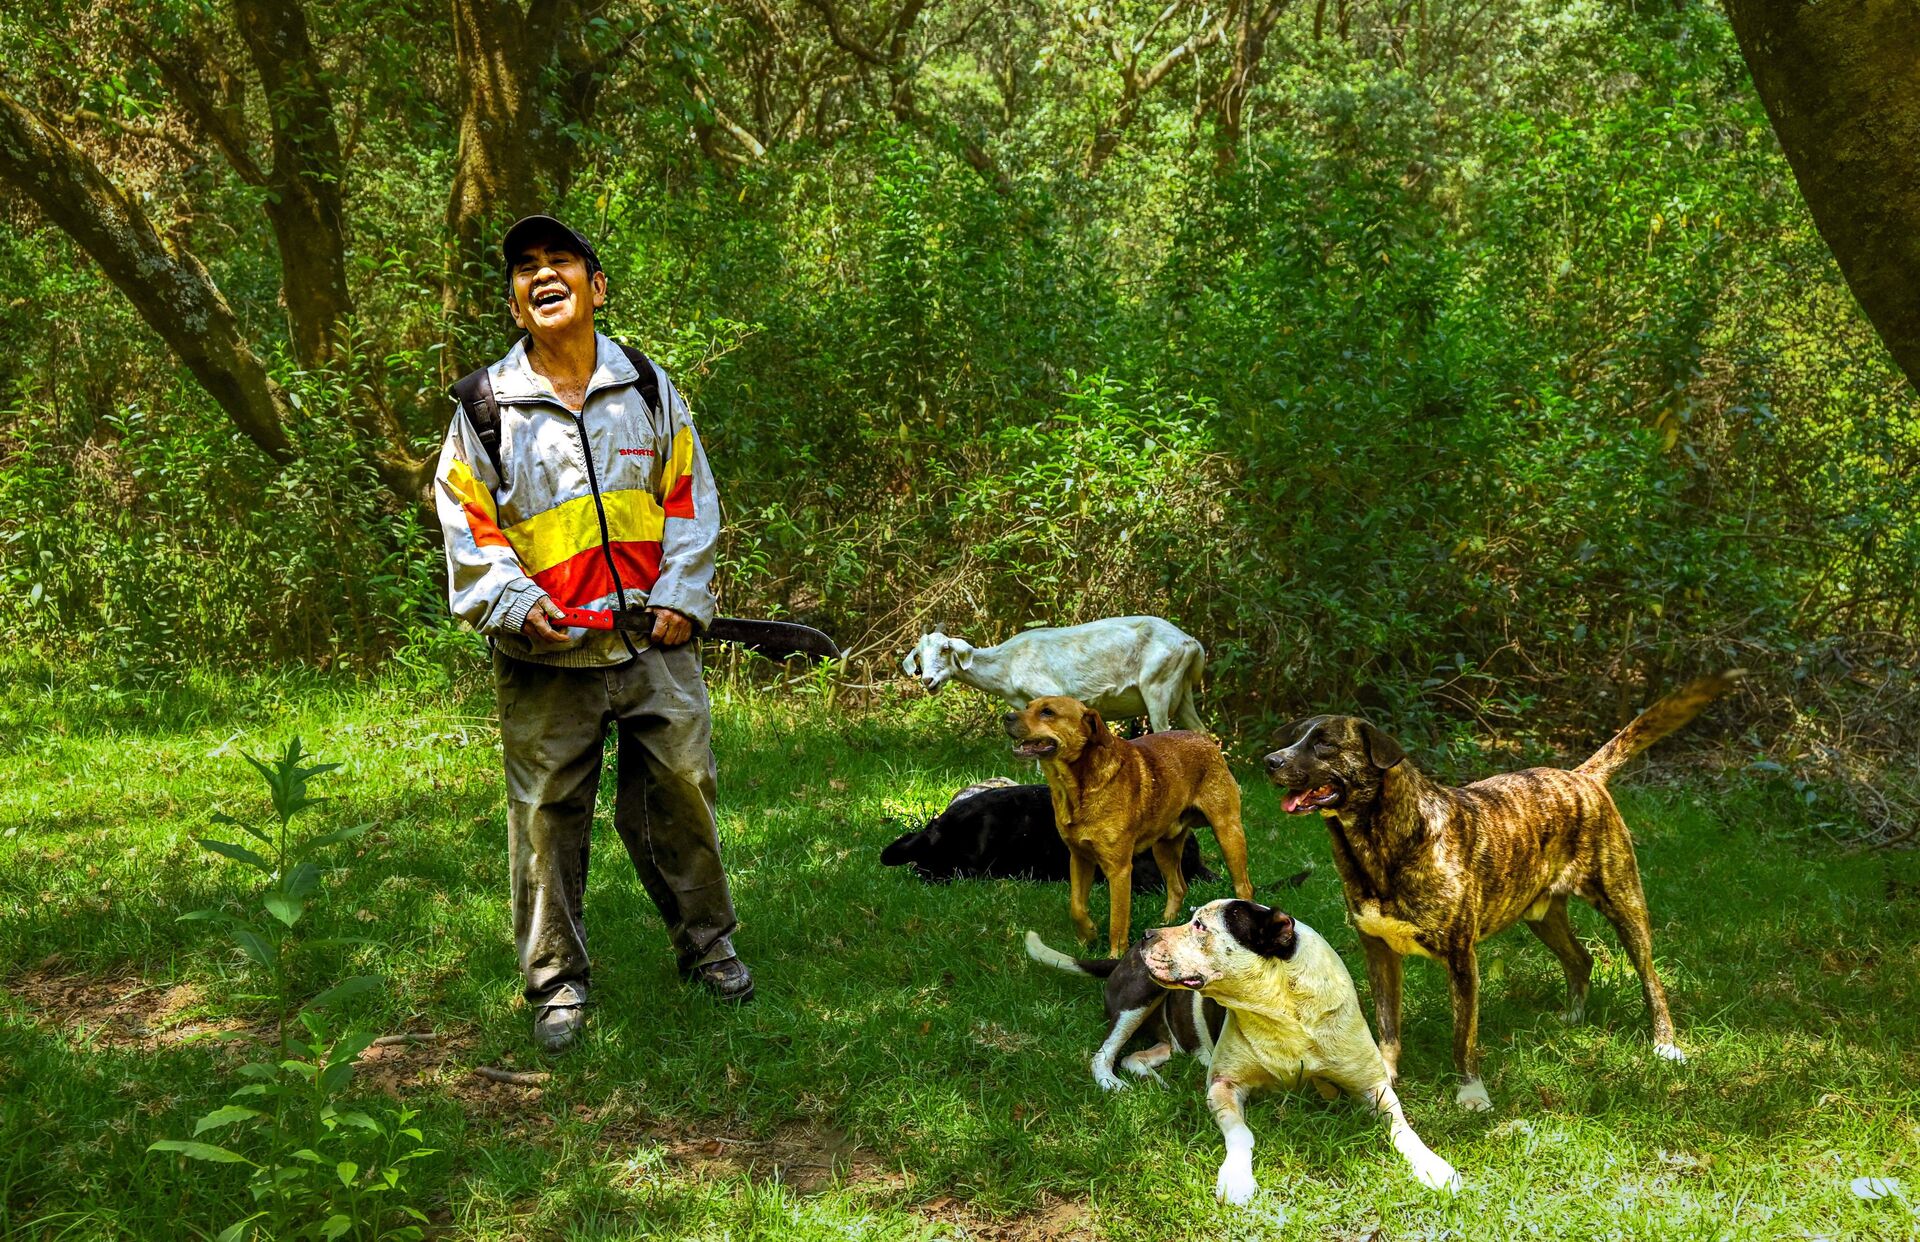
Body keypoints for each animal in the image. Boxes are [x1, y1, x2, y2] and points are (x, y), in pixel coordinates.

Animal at [903, 617, 1206, 732]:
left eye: (945, 648)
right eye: (918, 655)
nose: (928, 680)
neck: (1008, 664)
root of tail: (1191, 643)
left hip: (1157, 686)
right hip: (1182, 692)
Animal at [1004, 696, 1253, 956]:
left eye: (1048, 712)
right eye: (1028, 706)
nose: (1006, 717)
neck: (1078, 788)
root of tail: (1207, 740)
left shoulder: (1119, 869)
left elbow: (1118, 919)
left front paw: (1115, 956)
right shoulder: (1079, 858)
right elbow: (1077, 906)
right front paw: (1087, 937)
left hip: (1228, 832)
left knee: (1244, 887)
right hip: (1164, 848)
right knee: (1178, 888)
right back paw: (1165, 926)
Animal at [1025, 930, 1226, 1091]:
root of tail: (1124, 958)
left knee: (1132, 1057)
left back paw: (1153, 1080)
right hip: (1140, 994)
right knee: (1102, 1058)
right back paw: (1115, 1085)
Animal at [1140, 899, 1461, 1204]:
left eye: (1200, 926)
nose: (1146, 934)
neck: (1281, 1008)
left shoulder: (1373, 1085)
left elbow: (1402, 1128)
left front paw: (1434, 1166)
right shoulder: (1223, 1084)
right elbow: (1241, 1133)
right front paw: (1237, 1178)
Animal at [1264, 672, 1742, 1110]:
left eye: (1324, 744)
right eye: (1297, 737)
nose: (1270, 760)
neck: (1380, 845)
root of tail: (1582, 777)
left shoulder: (1461, 959)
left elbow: (1463, 1037)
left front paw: (1471, 1093)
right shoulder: (1378, 952)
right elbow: (1387, 1027)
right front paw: (1385, 1077)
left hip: (1624, 902)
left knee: (1651, 979)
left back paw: (1665, 1044)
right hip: (1542, 916)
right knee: (1580, 958)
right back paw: (1572, 1017)